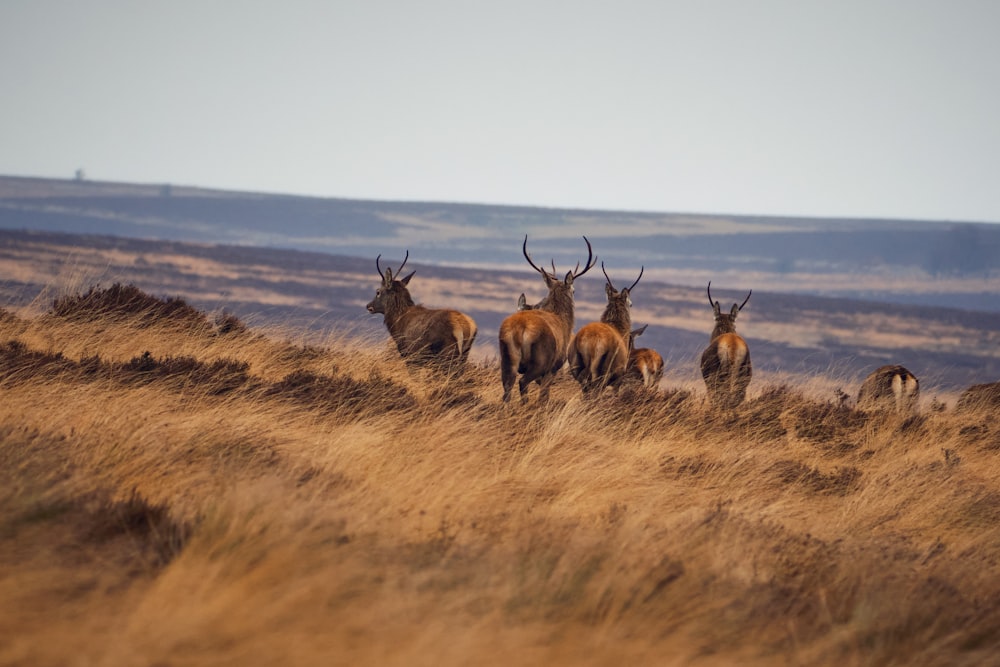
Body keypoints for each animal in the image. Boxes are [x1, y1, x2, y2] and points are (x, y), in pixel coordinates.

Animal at [498, 236, 592, 402]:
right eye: (574, 290)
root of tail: (520, 329)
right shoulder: (554, 367)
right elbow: (545, 395)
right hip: (540, 361)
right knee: (523, 383)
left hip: (507, 359)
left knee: (507, 388)